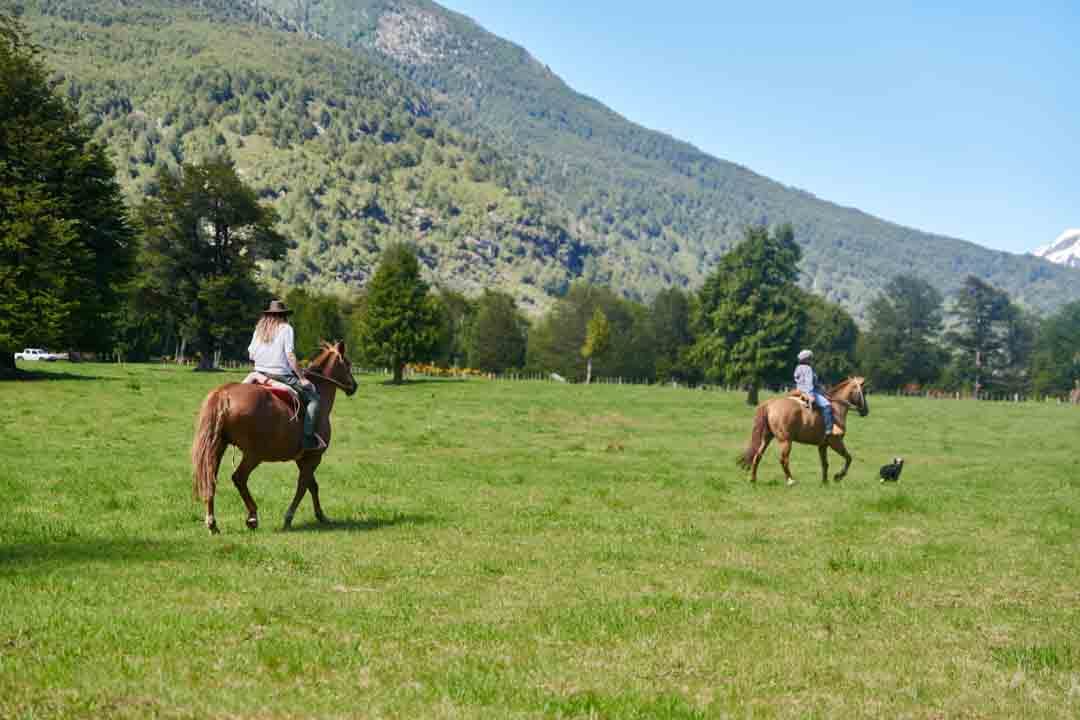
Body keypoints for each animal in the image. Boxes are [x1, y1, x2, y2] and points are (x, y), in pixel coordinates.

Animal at [192, 341, 360, 533]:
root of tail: (224, 394)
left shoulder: (302, 459)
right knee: (239, 478)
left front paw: (321, 515)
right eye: (347, 363)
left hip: (219, 446)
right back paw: (252, 517)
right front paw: (289, 517)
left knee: (210, 478)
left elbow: (312, 486)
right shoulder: (314, 457)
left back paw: (212, 523)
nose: (354, 386)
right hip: (253, 455)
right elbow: (303, 486)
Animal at [734, 375, 868, 487]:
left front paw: (825, 482)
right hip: (786, 441)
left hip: (766, 438)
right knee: (783, 460)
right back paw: (791, 480)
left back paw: (753, 479)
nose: (865, 411)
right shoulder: (836, 443)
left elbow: (825, 464)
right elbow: (848, 458)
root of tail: (770, 404)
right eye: (864, 392)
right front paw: (838, 476)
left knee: (757, 456)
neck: (836, 408)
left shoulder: (822, 445)